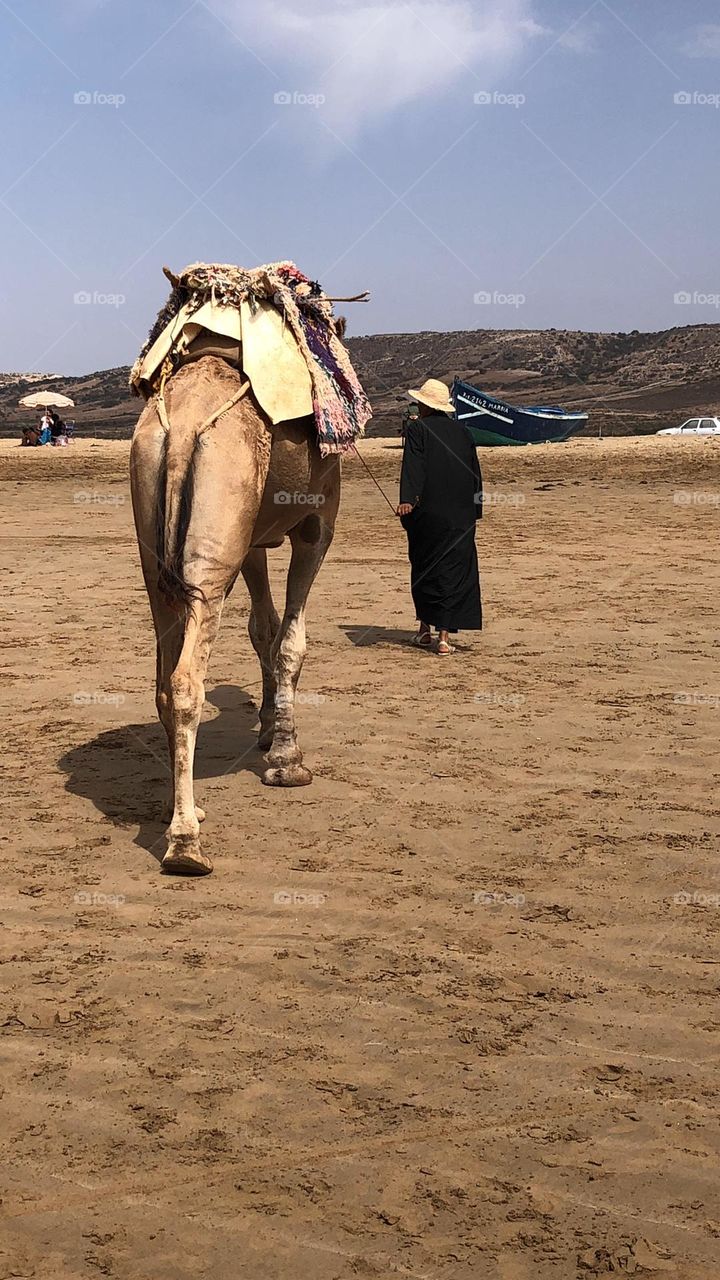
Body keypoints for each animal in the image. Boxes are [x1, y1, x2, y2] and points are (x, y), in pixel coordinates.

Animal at [128, 355, 338, 885]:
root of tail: (182, 428)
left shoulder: (254, 540)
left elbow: (264, 629)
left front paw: (267, 730)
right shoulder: (318, 519)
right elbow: (291, 641)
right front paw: (287, 761)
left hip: (156, 551)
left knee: (164, 679)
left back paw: (180, 812)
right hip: (216, 539)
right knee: (186, 682)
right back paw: (186, 846)